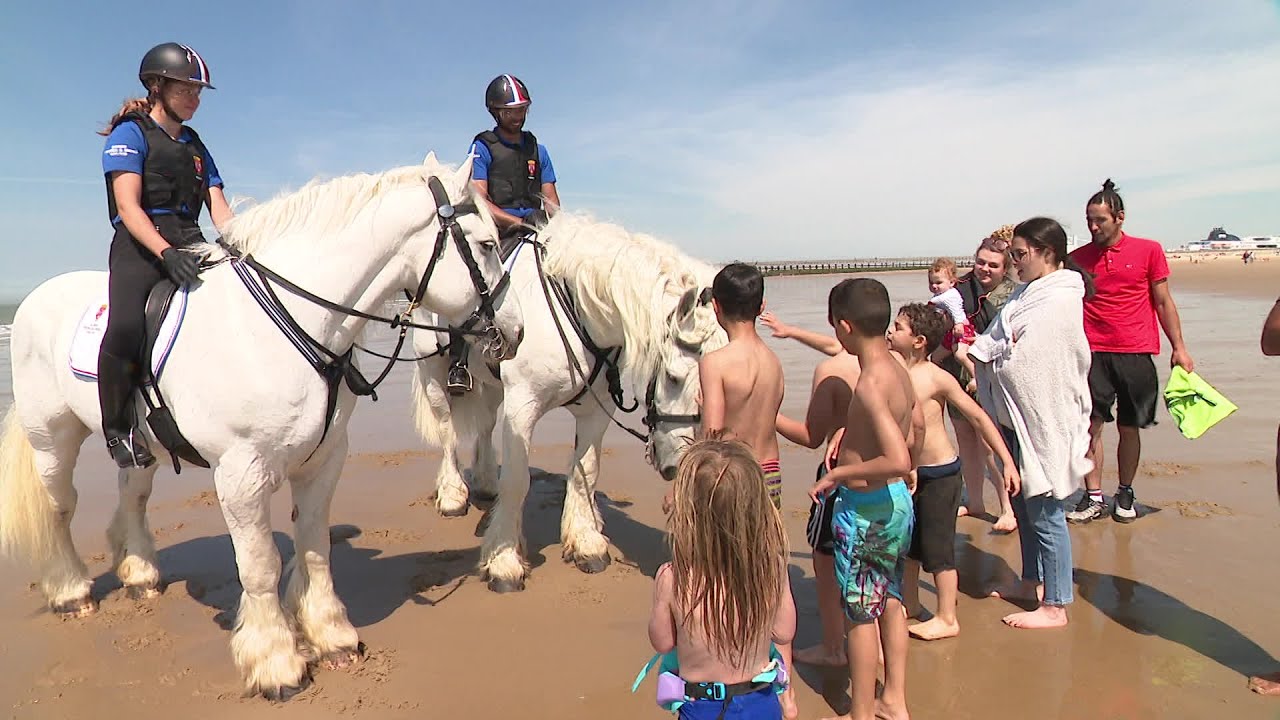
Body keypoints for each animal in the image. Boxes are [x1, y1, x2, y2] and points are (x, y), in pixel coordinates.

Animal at [0, 154, 523, 699]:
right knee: (59, 508)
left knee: (133, 493)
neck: (283, 324)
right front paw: (275, 662)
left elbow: (315, 548)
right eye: (487, 245)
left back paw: (140, 571)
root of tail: (36, 297)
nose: (516, 332)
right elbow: (260, 565)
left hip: (139, 443)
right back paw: (70, 590)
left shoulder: (324, 459)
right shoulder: (241, 475)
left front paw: (331, 636)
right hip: (51, 440)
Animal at [409, 211, 724, 592]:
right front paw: (504, 561)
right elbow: (517, 480)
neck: (576, 312)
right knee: (446, 430)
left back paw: (484, 481)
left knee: (484, 425)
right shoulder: (522, 406)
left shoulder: (594, 410)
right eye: (675, 378)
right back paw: (453, 492)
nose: (676, 468)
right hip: (432, 370)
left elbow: (585, 471)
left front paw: (586, 543)